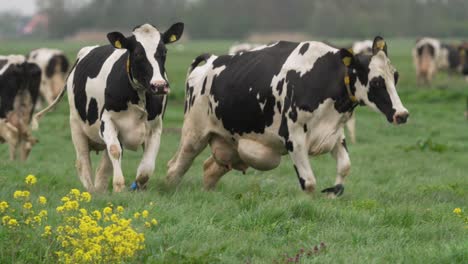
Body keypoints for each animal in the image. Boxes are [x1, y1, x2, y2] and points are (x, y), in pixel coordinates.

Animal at [34, 23, 183, 192]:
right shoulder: (107, 121)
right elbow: (115, 151)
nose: (159, 86)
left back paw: (100, 189)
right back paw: (91, 190)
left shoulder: (155, 127)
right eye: (138, 53)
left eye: (164, 51)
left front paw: (138, 187)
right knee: (83, 161)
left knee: (103, 167)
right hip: (76, 125)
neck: (139, 96)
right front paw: (119, 186)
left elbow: (146, 167)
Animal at [166, 36, 408, 197]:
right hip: (194, 135)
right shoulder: (294, 138)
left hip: (231, 144)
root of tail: (211, 59)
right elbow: (309, 182)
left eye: (395, 77)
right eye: (376, 82)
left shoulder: (334, 133)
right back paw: (166, 189)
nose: (402, 114)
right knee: (175, 168)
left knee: (209, 169)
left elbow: (344, 167)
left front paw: (333, 191)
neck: (322, 76)